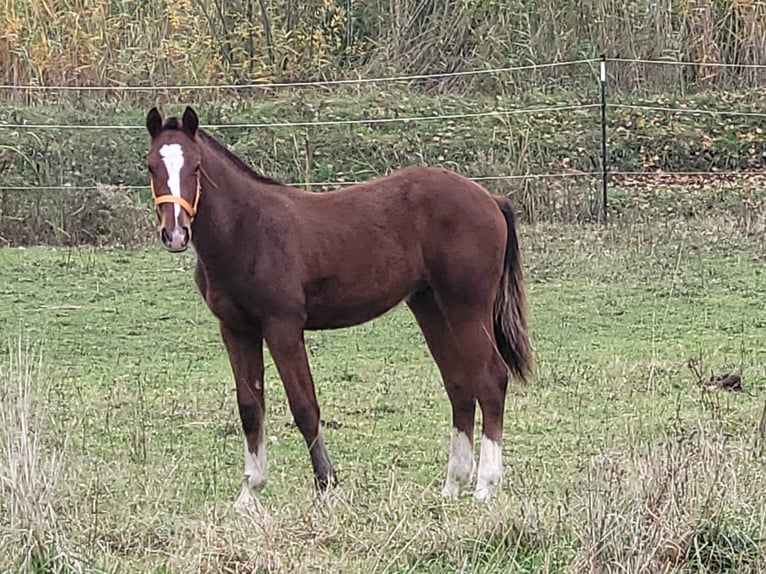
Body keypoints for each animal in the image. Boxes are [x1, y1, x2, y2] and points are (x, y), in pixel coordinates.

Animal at [146, 106, 536, 506]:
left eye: (195, 167)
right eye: (151, 166)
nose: (175, 234)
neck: (248, 229)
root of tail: (491, 198)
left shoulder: (283, 325)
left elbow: (304, 405)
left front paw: (327, 484)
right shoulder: (236, 329)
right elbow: (250, 408)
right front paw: (249, 493)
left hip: (467, 305)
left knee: (490, 378)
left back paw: (486, 486)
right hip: (431, 306)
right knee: (458, 385)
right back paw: (453, 485)